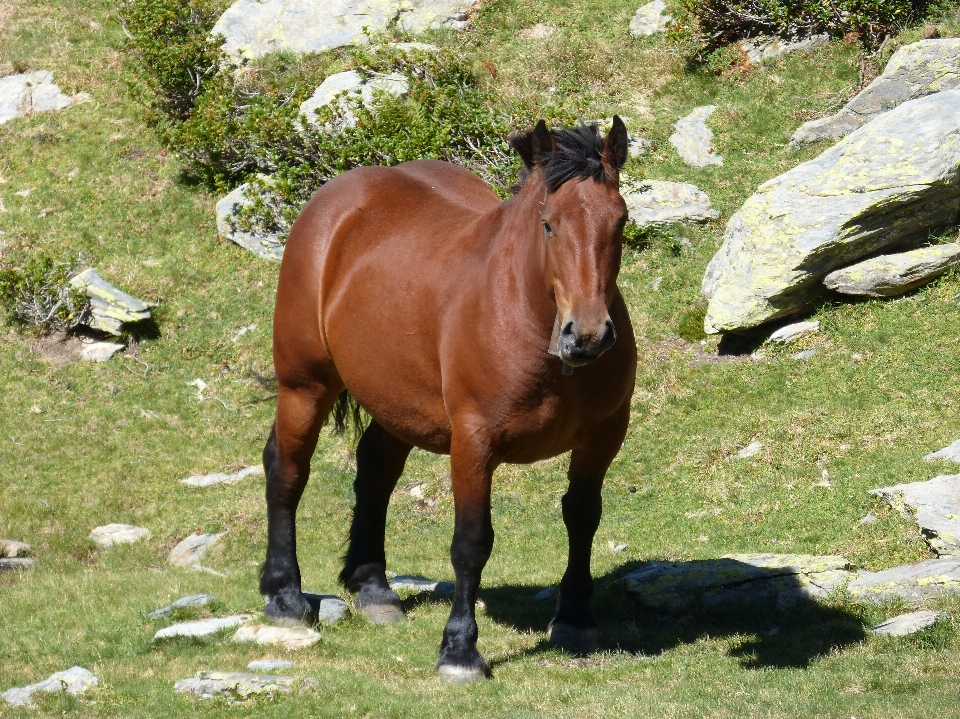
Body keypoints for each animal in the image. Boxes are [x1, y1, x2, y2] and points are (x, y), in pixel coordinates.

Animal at [260, 116, 636, 680]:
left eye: (620, 221)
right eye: (549, 224)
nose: (587, 335)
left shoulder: (602, 437)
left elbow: (582, 517)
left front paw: (574, 617)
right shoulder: (474, 441)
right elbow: (471, 543)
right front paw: (460, 649)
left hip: (395, 402)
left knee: (375, 471)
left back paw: (373, 588)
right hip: (304, 387)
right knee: (287, 469)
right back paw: (284, 595)